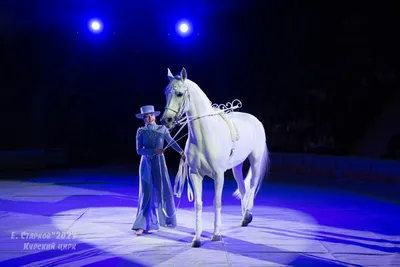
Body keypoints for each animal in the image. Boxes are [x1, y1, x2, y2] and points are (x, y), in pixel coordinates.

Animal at [159, 68, 268, 248]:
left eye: (180, 94)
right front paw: (196, 238)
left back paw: (247, 214)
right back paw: (243, 217)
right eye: (165, 93)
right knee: (243, 188)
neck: (205, 136)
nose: (166, 120)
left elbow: (217, 202)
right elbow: (198, 204)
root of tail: (255, 120)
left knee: (252, 186)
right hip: (237, 166)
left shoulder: (219, 175)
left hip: (255, 161)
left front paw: (216, 234)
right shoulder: (195, 175)